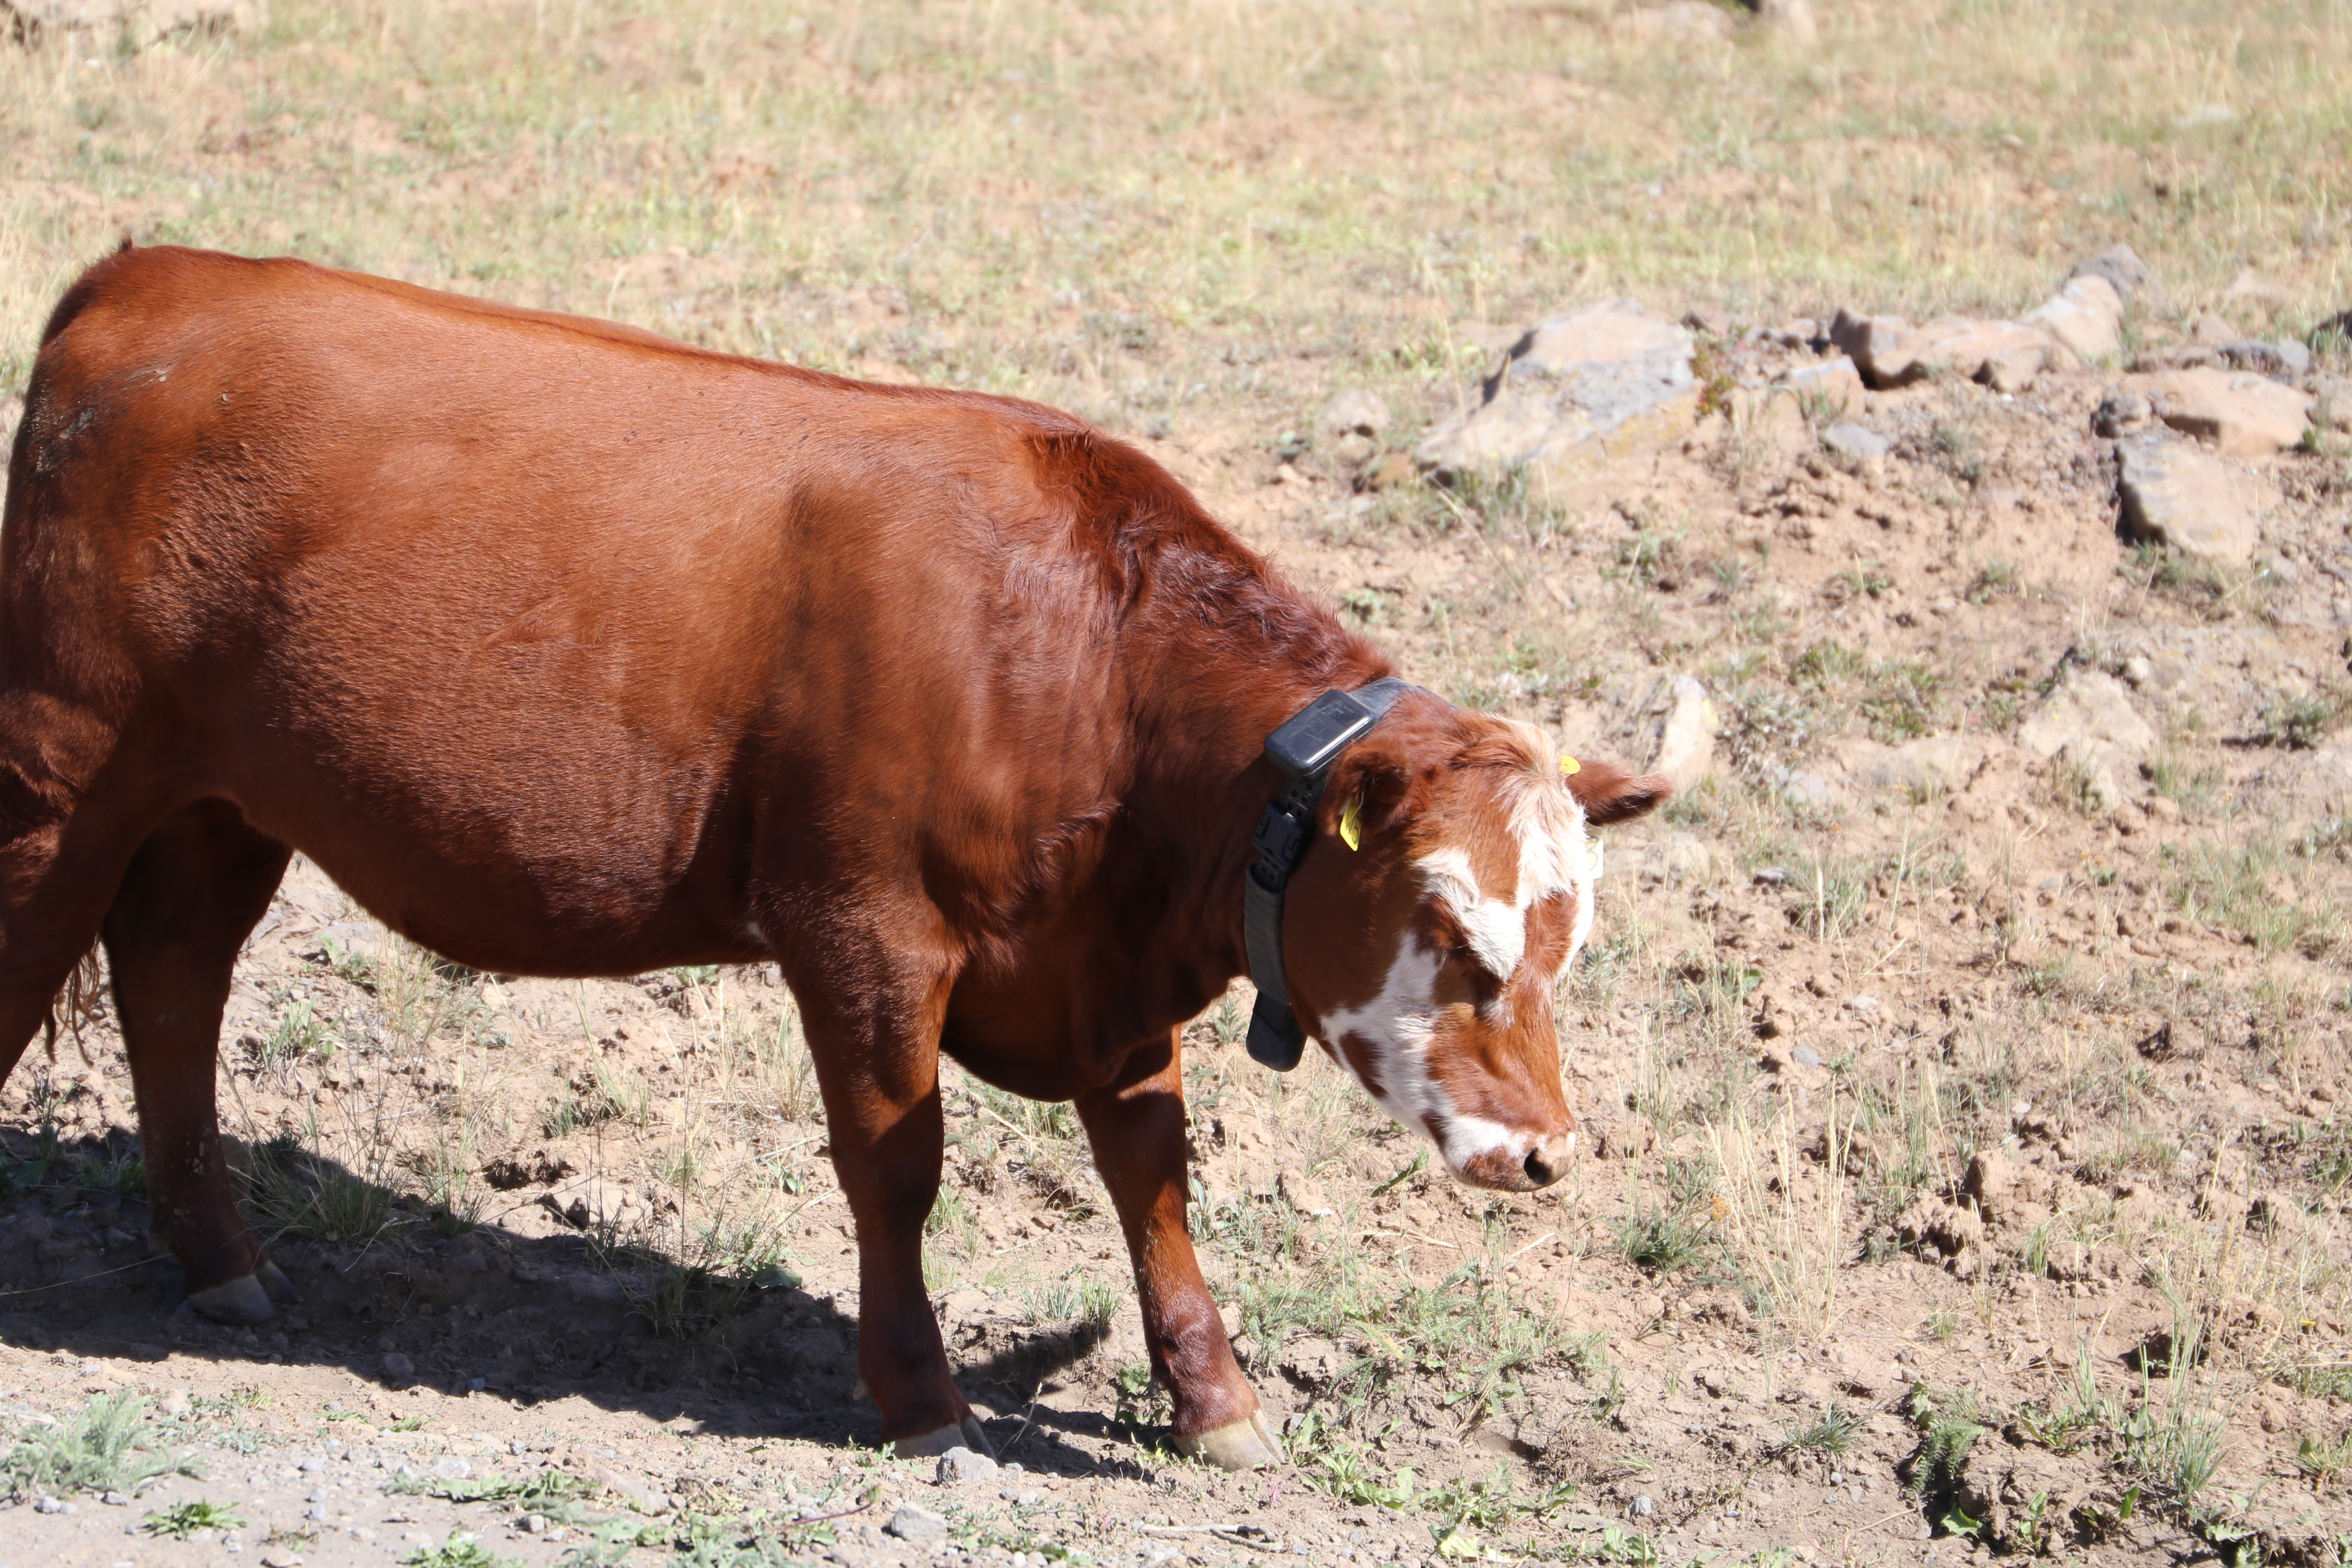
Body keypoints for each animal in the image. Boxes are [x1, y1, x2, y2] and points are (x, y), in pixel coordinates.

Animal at [0, 244, 1668, 1470]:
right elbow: (897, 1167)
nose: (1546, 1153)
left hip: (225, 805)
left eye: (1570, 940)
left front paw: (1215, 1399)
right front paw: (920, 1398)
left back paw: (218, 1254)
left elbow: (1151, 1171)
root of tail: (152, 273)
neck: (1081, 663)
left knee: (171, 989)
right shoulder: (862, 928)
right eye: (1451, 926)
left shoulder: (1107, 979)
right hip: (66, 770)